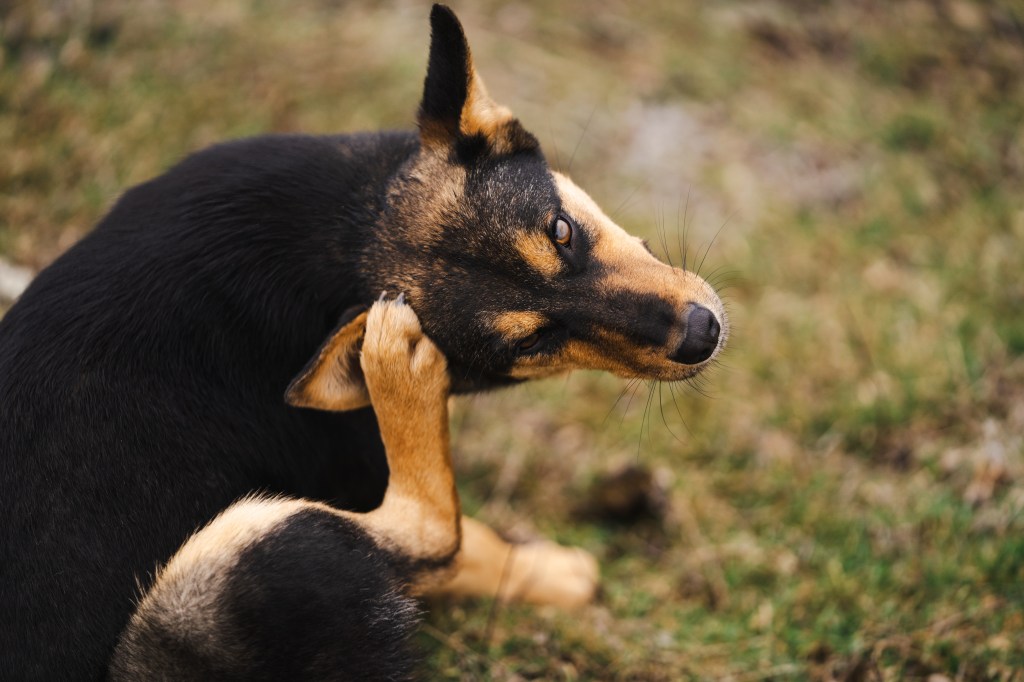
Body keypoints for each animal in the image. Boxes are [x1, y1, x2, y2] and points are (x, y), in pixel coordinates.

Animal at [0, 6, 724, 679]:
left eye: (563, 232)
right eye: (532, 343)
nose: (702, 335)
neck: (341, 240)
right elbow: (465, 546)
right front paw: (559, 577)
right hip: (234, 561)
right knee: (428, 531)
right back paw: (398, 370)